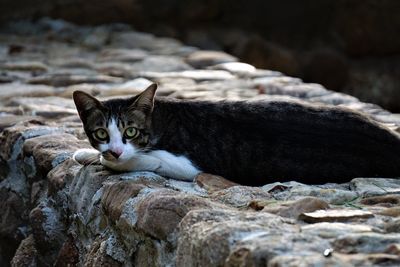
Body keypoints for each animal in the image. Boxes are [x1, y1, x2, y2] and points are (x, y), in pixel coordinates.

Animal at [72, 84, 400, 186]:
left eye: (130, 131)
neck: (160, 119)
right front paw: (88, 153)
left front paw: (109, 160)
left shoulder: (188, 164)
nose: (114, 149)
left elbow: (140, 160)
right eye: (101, 133)